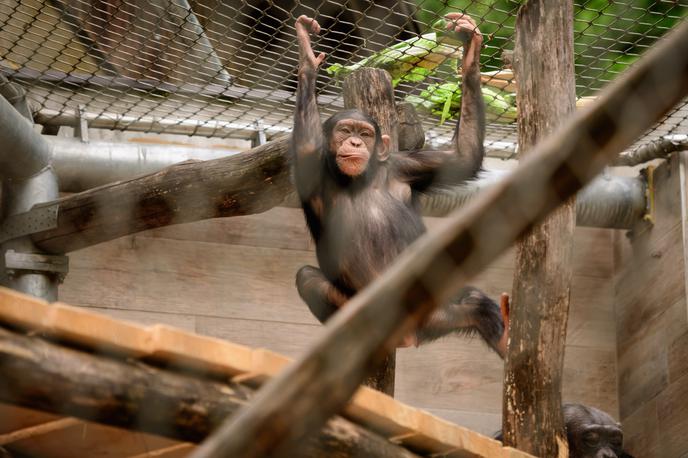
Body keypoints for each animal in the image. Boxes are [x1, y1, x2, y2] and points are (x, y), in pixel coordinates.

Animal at [288, 12, 508, 356]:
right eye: (345, 130)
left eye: (365, 134)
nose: (354, 141)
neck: (360, 180)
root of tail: (410, 333)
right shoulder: (312, 164)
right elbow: (309, 142)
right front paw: (308, 58)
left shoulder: (405, 168)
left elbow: (463, 157)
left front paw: (470, 50)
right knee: (307, 277)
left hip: (435, 315)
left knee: (474, 303)